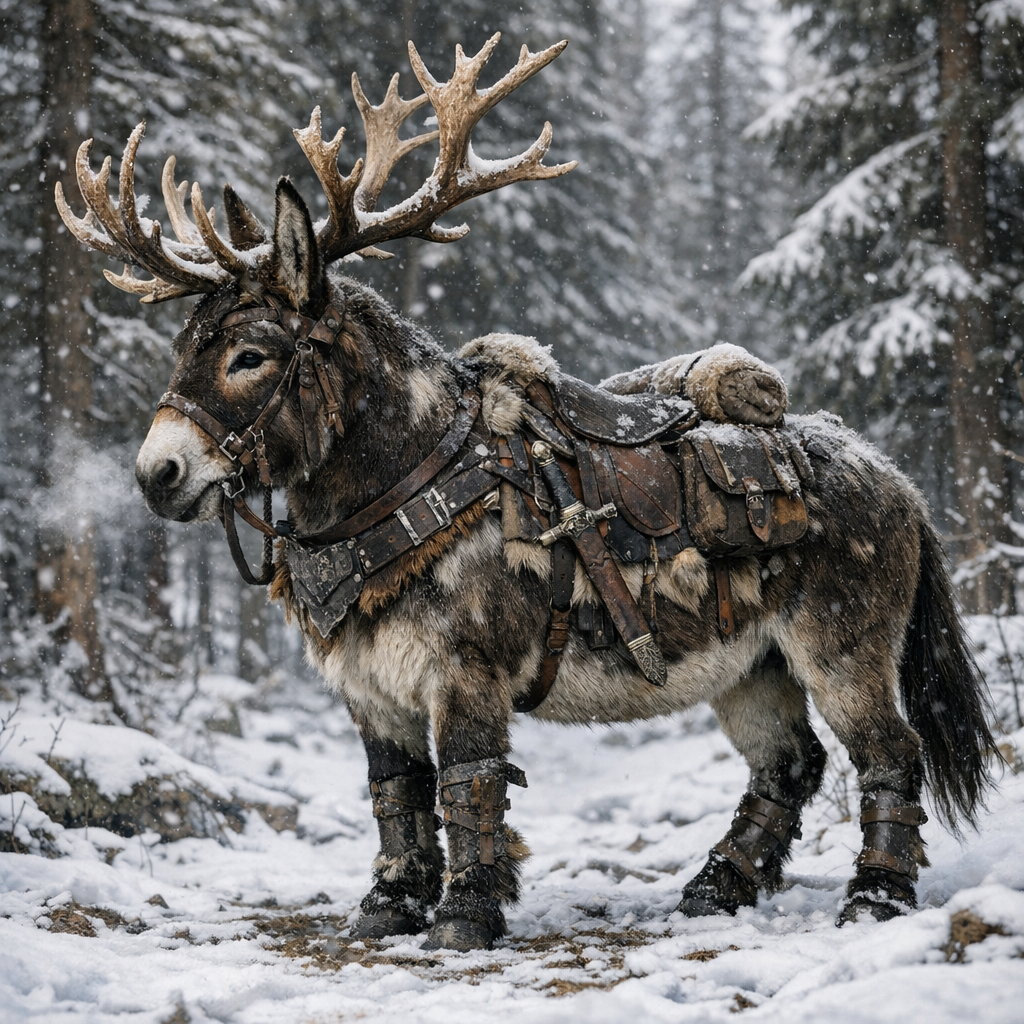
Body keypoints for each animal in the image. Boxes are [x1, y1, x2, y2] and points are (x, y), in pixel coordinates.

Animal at [56, 35, 994, 951]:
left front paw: (467, 914)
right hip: (751, 665)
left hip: (842, 647)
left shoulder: (467, 671)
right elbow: (396, 797)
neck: (400, 482)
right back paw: (715, 887)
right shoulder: (369, 691)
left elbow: (469, 786)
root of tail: (902, 484)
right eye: (183, 343)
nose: (158, 472)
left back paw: (874, 896)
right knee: (791, 763)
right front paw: (388, 905)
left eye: (251, 353)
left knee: (891, 752)